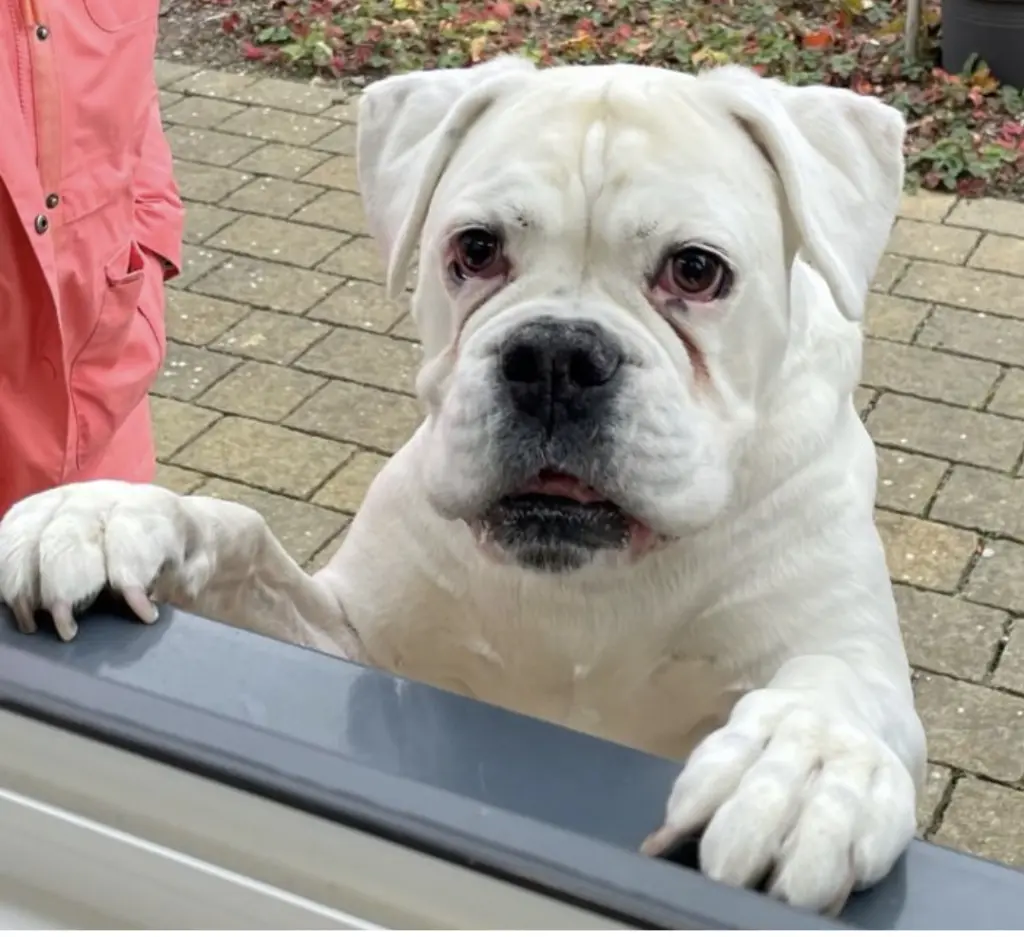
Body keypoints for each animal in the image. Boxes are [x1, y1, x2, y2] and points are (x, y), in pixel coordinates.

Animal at [0, 56, 926, 914]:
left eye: (697, 270)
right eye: (475, 250)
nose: (555, 355)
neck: (586, 589)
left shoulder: (840, 640)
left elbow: (844, 681)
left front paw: (803, 766)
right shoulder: (351, 643)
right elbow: (240, 540)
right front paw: (102, 513)